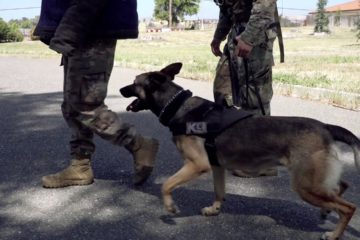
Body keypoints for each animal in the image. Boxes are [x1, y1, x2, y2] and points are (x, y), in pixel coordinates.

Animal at [121, 62, 360, 239]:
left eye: (134, 83)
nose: (120, 89)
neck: (178, 106)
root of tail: (325, 126)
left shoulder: (197, 165)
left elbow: (167, 185)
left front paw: (170, 208)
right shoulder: (216, 166)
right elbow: (218, 191)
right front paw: (214, 210)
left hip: (306, 186)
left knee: (348, 207)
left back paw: (334, 234)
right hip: (315, 181)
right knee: (341, 186)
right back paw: (326, 211)